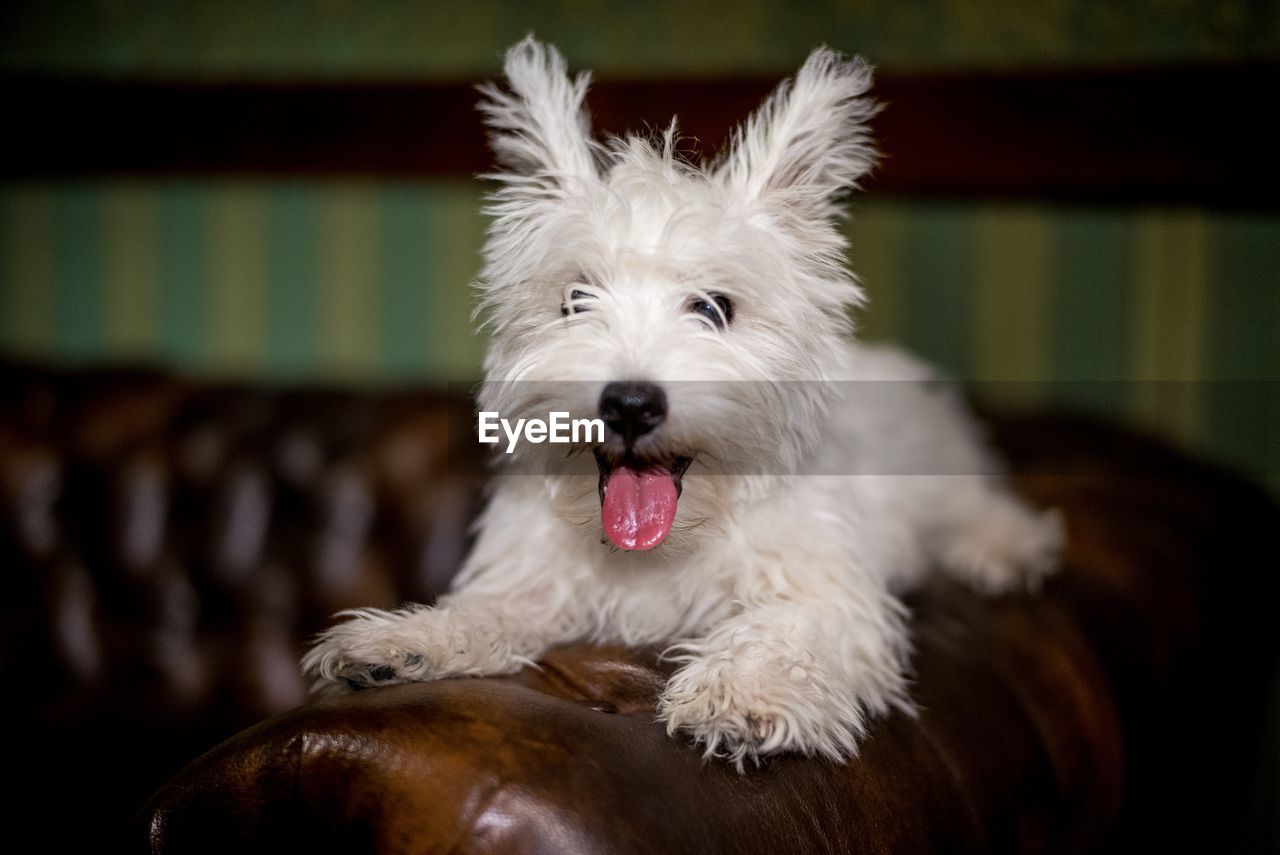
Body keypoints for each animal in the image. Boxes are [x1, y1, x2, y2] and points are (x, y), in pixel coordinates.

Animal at [299, 36, 1059, 767]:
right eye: (576, 299)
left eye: (714, 307)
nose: (631, 403)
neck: (664, 547)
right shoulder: (537, 578)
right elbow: (490, 609)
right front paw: (403, 642)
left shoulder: (825, 584)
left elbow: (789, 625)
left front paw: (743, 690)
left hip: (941, 470)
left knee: (977, 504)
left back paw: (1004, 547)